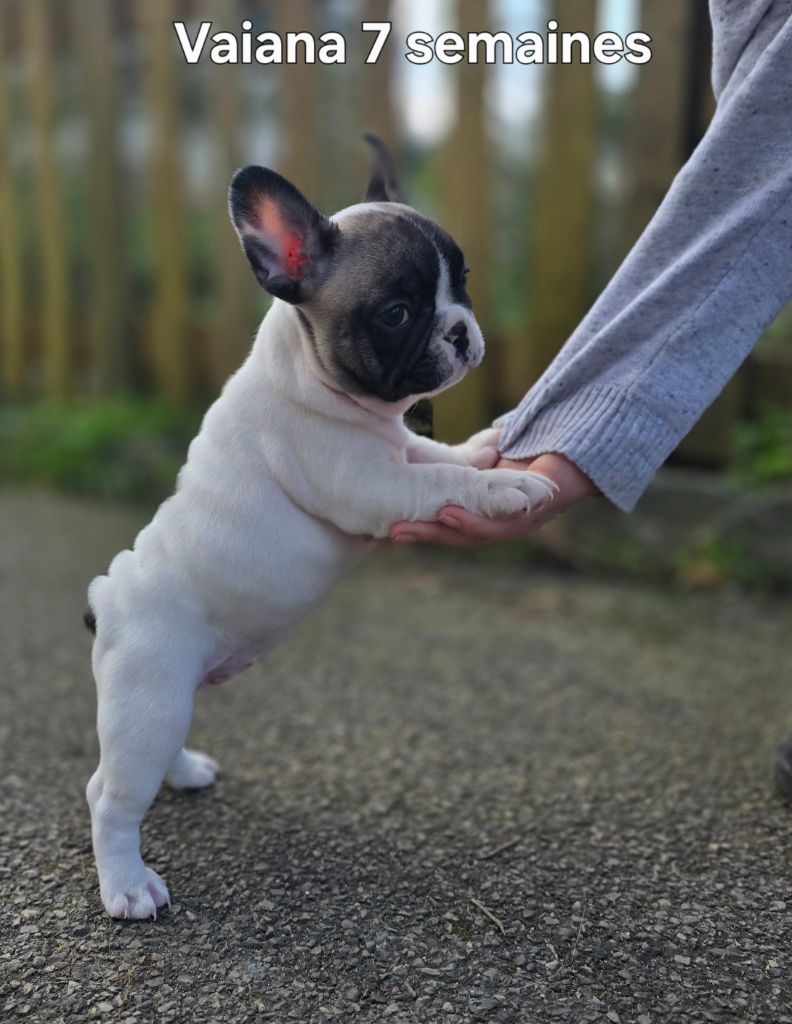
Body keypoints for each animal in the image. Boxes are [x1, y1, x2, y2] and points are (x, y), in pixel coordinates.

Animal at [83, 138, 553, 921]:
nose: (461, 331)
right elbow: (436, 482)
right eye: (397, 312)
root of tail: (107, 597)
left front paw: (483, 448)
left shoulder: (397, 449)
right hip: (147, 697)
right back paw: (127, 885)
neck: (307, 374)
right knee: (109, 795)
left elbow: (436, 457)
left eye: (464, 282)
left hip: (166, 702)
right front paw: (504, 485)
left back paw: (185, 772)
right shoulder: (367, 482)